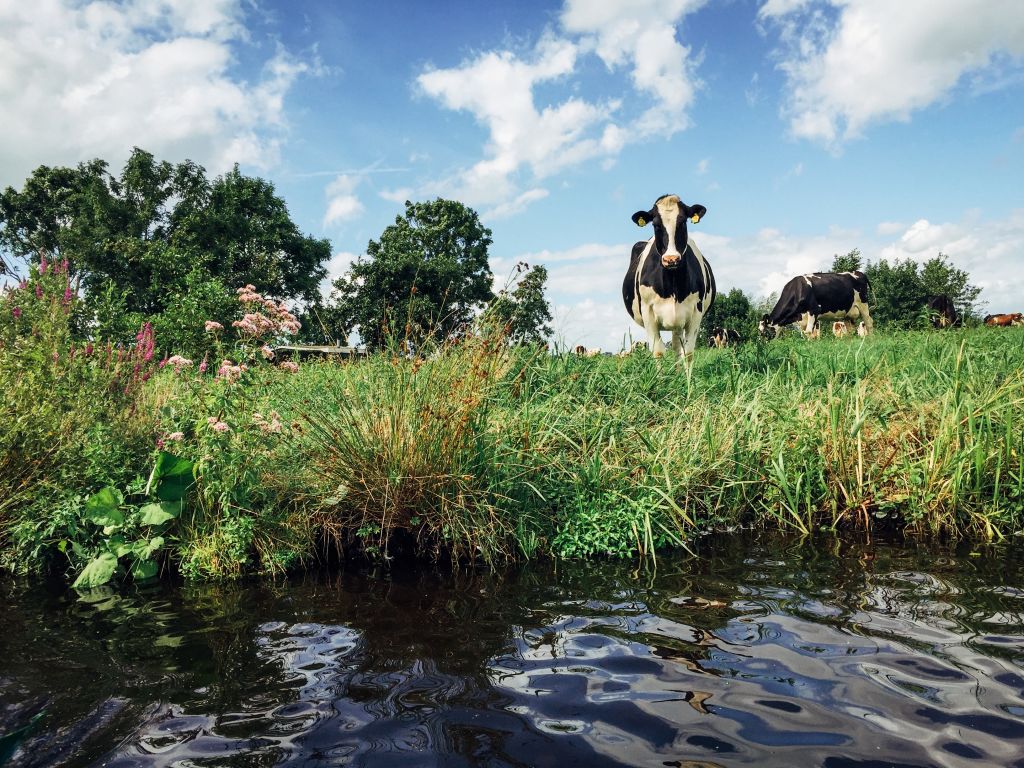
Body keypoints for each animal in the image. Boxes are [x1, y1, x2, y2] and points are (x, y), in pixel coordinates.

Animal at [622, 194, 716, 359]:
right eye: (655, 225)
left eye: (683, 221)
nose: (671, 259)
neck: (672, 284)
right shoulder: (648, 312)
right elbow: (658, 352)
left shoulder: (696, 313)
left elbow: (688, 353)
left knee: (678, 349)